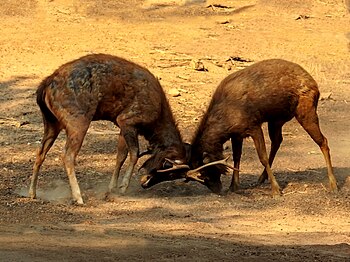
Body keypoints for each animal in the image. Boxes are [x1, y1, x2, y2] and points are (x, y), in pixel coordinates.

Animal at [30, 53, 189, 205]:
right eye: (170, 172)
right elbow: (134, 153)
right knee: (68, 155)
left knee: (40, 152)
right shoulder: (128, 120)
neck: (156, 120)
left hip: (51, 123)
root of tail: (45, 85)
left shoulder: (122, 127)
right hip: (78, 122)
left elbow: (121, 155)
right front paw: (123, 186)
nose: (145, 182)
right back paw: (78, 197)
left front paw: (111, 188)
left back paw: (32, 193)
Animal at [141, 58, 338, 195]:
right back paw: (261, 178)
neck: (226, 120)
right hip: (276, 119)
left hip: (306, 111)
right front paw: (234, 186)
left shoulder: (253, 126)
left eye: (204, 174)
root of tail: (314, 83)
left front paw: (276, 191)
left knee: (323, 141)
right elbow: (237, 157)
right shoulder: (236, 134)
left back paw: (333, 184)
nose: (218, 190)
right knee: (278, 141)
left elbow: (262, 157)